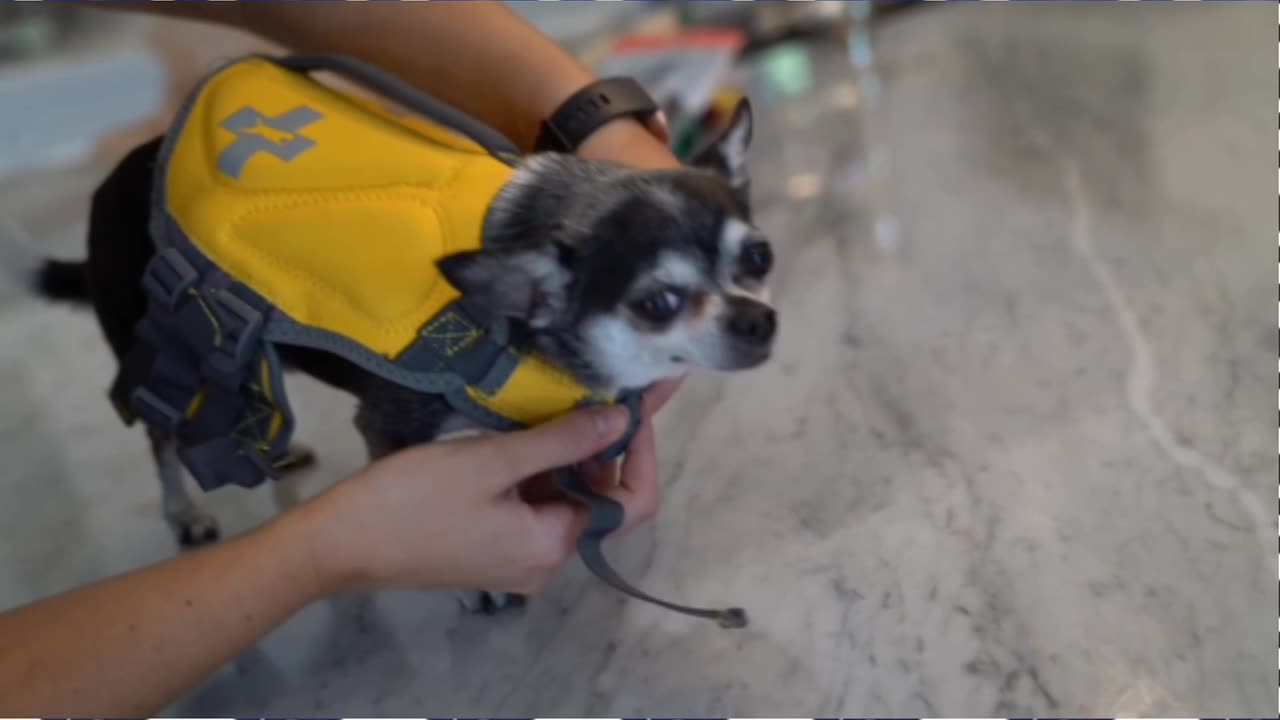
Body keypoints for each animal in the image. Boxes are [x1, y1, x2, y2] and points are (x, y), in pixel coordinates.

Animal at [24, 96, 773, 609]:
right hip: (166, 336)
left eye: (759, 257)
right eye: (657, 304)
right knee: (162, 437)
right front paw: (475, 582)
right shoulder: (392, 429)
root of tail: (112, 182)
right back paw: (185, 513)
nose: (759, 320)